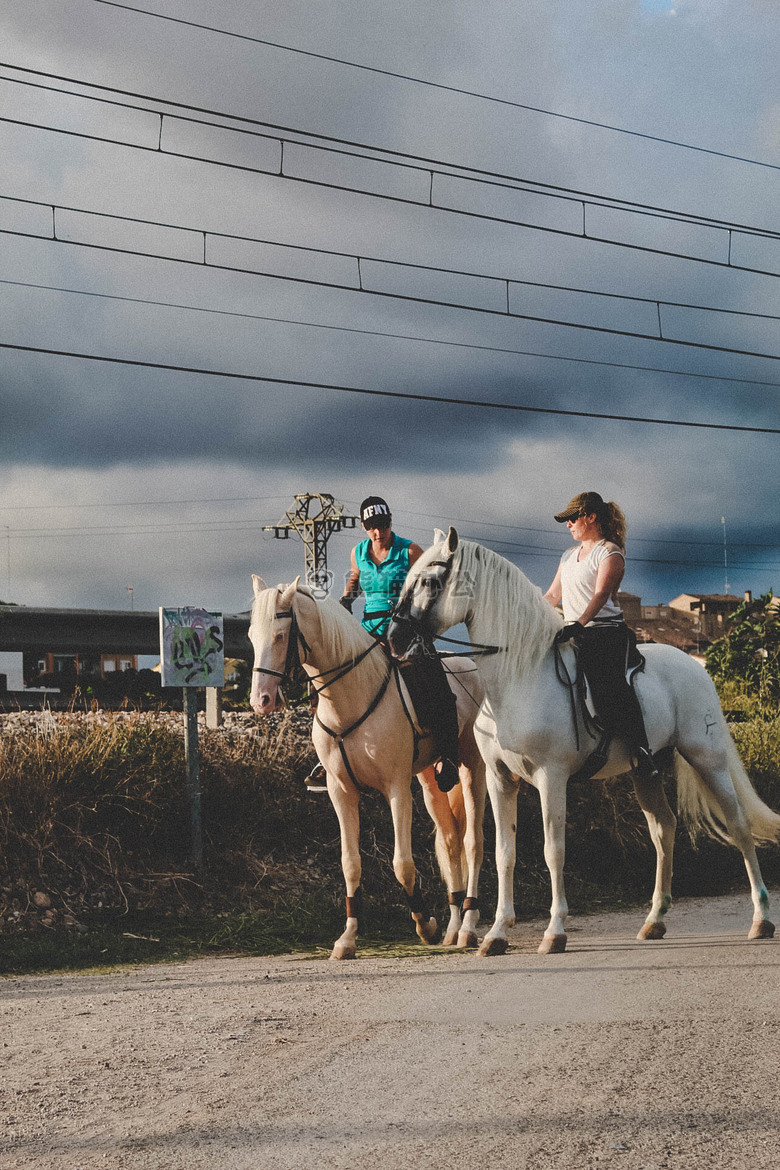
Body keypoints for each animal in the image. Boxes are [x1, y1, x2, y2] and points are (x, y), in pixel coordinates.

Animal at [246, 575, 484, 959]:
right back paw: (452, 926)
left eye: (281, 636)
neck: (351, 696)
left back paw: (468, 927)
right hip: (430, 780)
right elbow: (351, 863)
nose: (261, 701)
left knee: (473, 841)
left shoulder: (397, 789)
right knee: (450, 841)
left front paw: (425, 925)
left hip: (472, 768)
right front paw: (348, 938)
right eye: (253, 635)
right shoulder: (341, 792)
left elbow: (402, 864)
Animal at [390, 535, 780, 954]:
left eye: (429, 582)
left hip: (707, 757)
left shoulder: (551, 778)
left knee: (738, 824)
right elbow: (504, 853)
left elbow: (553, 849)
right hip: (646, 771)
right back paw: (654, 921)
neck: (518, 679)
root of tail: (696, 667)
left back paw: (761, 918)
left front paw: (555, 931)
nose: (394, 639)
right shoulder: (500, 779)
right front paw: (496, 934)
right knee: (664, 829)